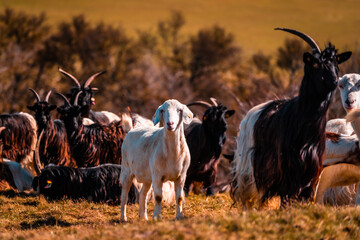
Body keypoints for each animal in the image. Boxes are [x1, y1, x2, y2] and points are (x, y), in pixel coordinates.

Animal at [231, 27, 352, 208]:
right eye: (316, 63)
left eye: (335, 62)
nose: (334, 81)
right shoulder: (287, 169)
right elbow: (285, 196)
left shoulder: (312, 170)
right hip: (248, 165)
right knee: (249, 191)